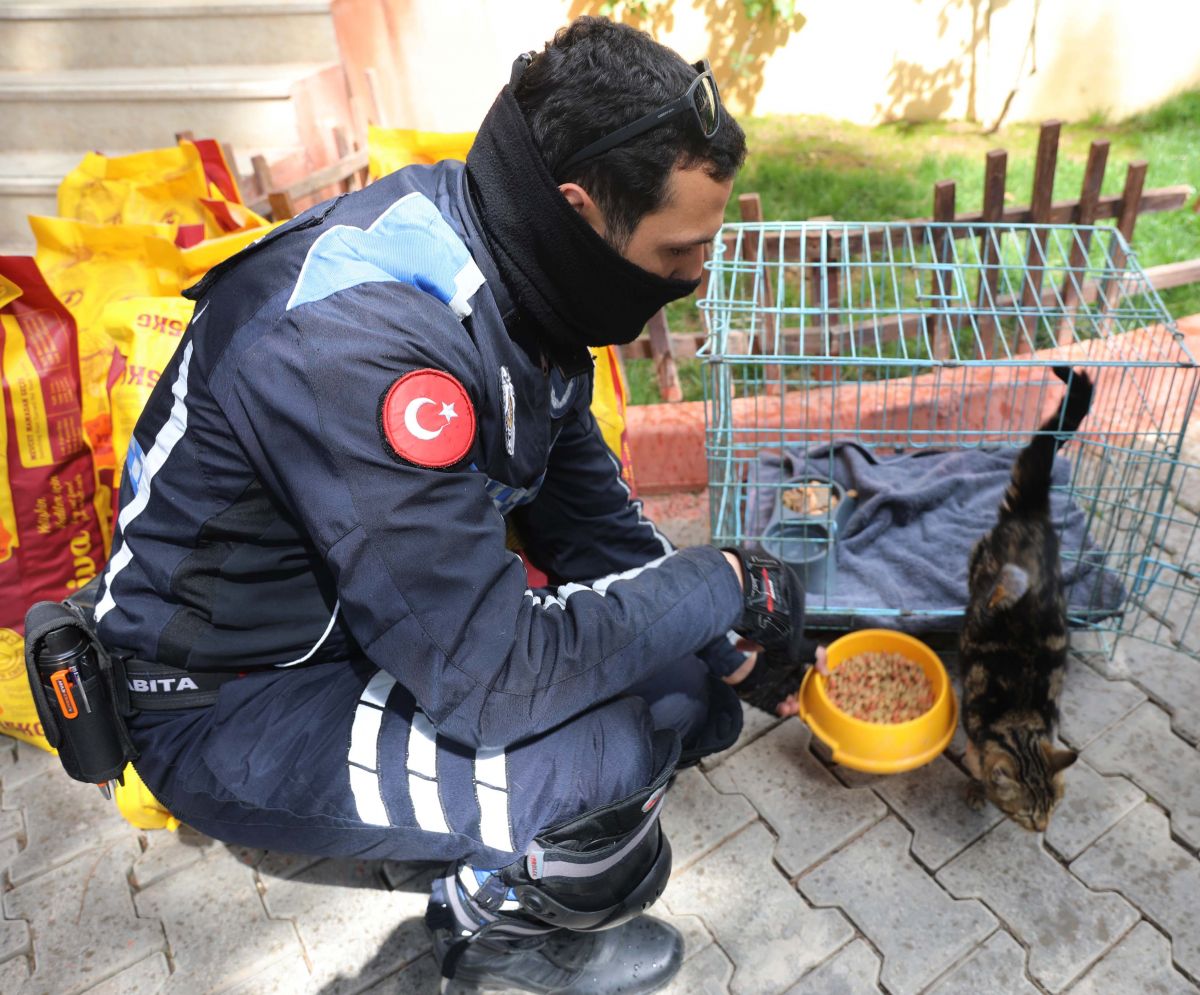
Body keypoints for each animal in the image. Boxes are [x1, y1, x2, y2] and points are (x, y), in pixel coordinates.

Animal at [960, 364, 1094, 830]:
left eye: (1054, 807)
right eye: (1027, 814)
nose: (1043, 828)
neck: (1019, 714)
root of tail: (1034, 511)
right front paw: (976, 785)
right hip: (979, 561)